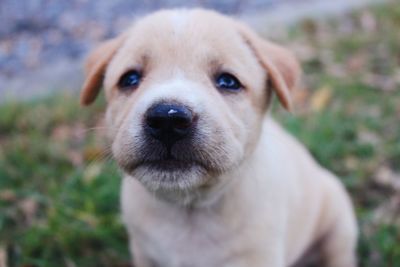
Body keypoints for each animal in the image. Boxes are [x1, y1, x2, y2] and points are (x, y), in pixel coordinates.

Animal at [79, 8, 358, 267]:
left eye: (228, 81)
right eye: (130, 78)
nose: (168, 120)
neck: (188, 209)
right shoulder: (144, 253)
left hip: (339, 220)